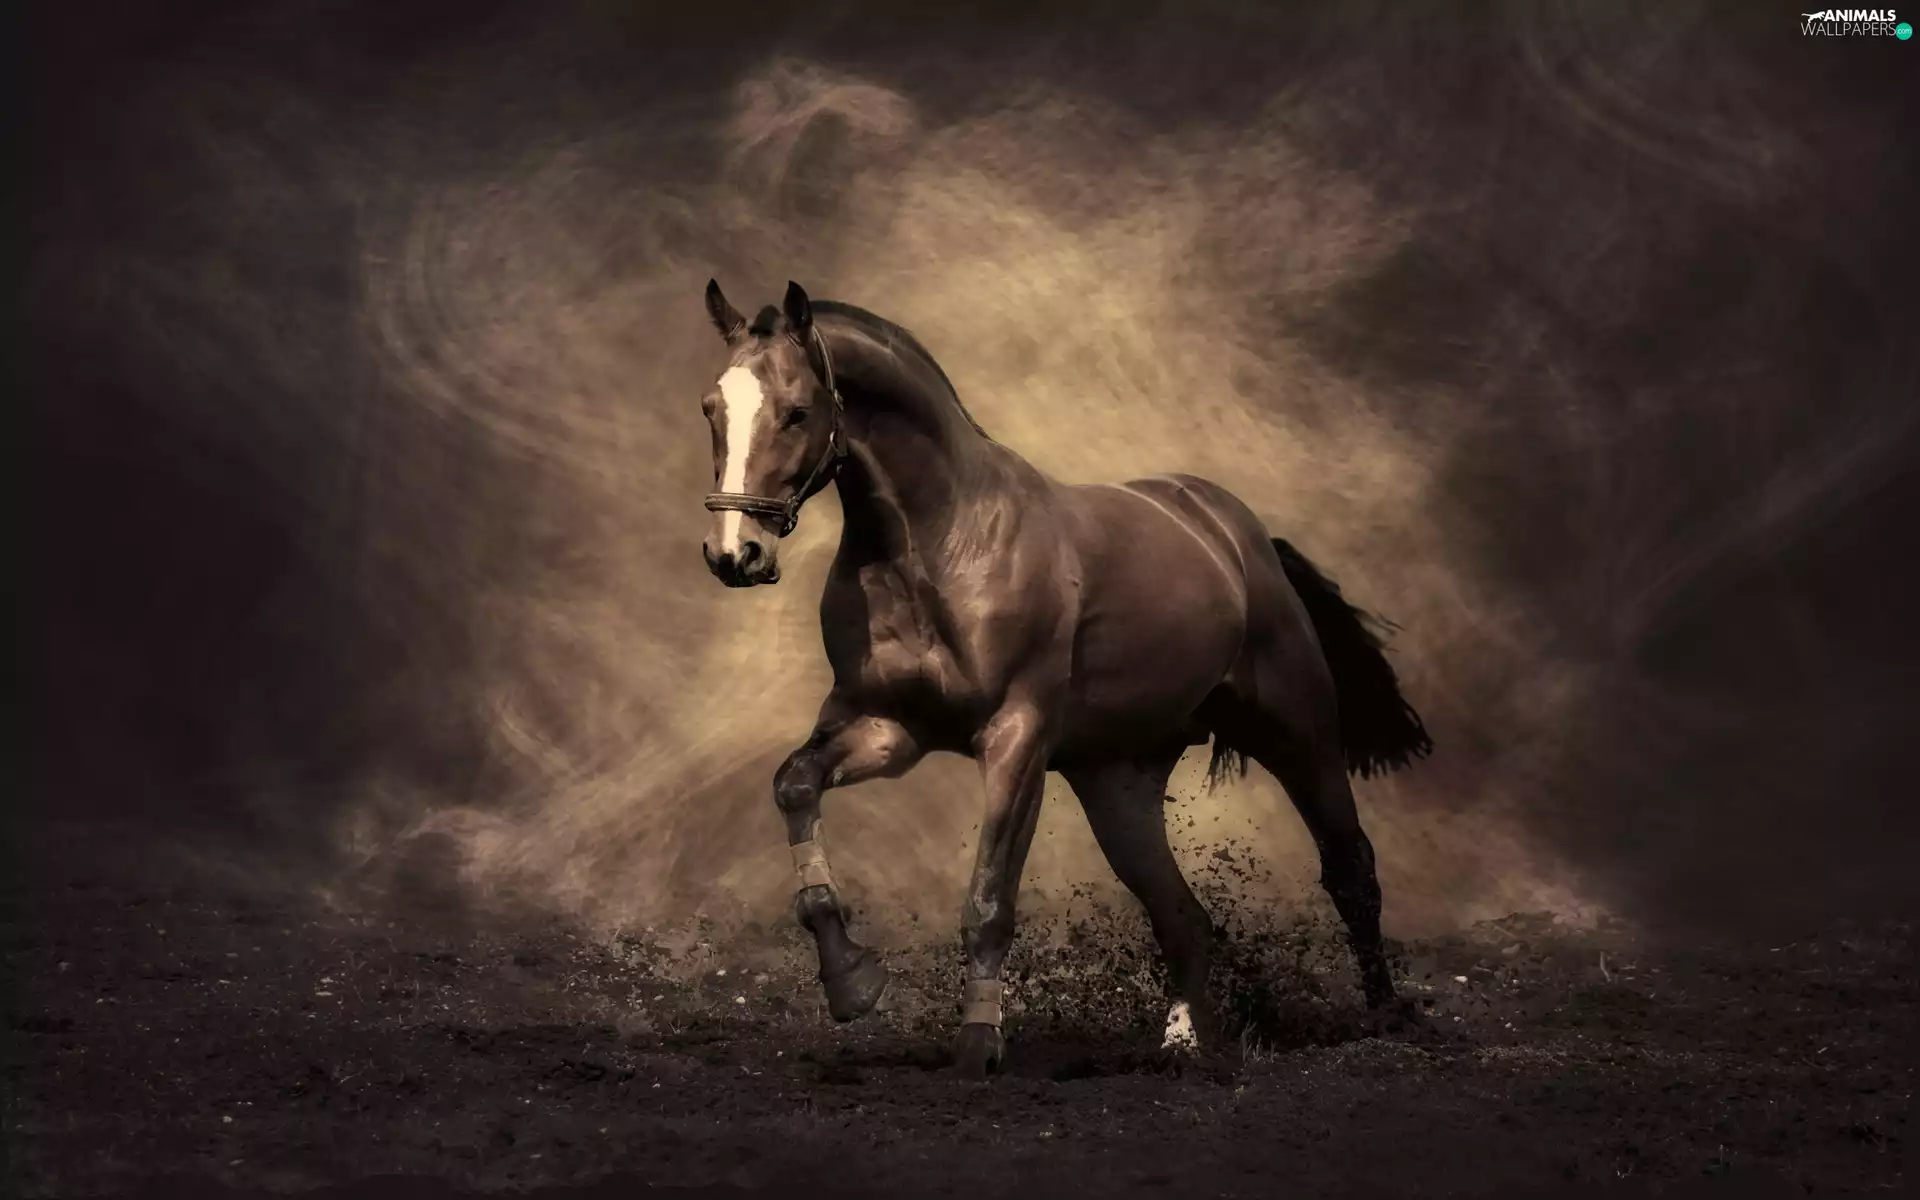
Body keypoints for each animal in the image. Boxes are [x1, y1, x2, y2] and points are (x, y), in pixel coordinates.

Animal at [695, 279, 1433, 1079]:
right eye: (711, 407)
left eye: (798, 410)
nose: (734, 553)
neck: (937, 545)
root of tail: (1240, 535)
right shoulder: (887, 729)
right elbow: (795, 786)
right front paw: (853, 983)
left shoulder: (1016, 739)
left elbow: (989, 901)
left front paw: (977, 1047)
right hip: (1118, 784)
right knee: (1183, 916)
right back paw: (1183, 1043)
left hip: (1297, 732)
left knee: (1350, 867)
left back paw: (1385, 1018)